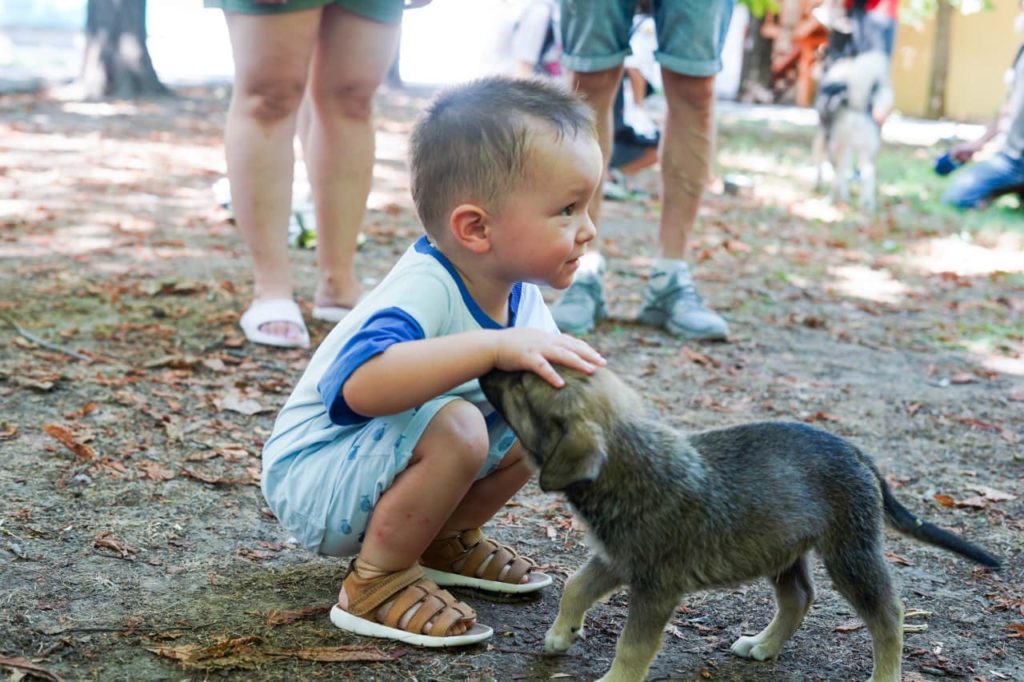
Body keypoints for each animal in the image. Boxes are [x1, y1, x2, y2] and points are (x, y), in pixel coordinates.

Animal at [479, 366, 999, 679]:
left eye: (522, 387)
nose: (489, 365)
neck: (629, 466)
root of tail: (856, 451)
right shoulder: (616, 560)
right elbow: (575, 586)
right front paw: (562, 634)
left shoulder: (655, 588)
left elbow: (632, 646)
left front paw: (613, 677)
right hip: (783, 550)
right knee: (799, 598)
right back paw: (763, 647)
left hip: (850, 554)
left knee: (888, 615)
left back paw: (884, 673)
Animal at [811, 49, 892, 212]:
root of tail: (855, 105)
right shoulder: (848, 149)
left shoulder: (822, 138)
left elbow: (819, 166)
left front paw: (817, 184)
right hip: (866, 151)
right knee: (868, 176)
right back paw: (866, 206)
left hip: (835, 146)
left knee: (837, 175)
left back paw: (832, 200)